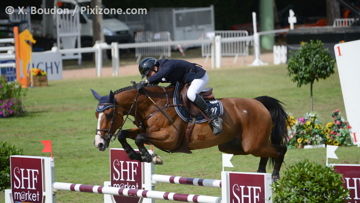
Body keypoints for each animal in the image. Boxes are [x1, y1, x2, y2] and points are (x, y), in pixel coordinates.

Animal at [91, 83, 288, 182]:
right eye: (96, 114)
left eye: (109, 114)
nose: (99, 144)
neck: (153, 104)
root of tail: (259, 103)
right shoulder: (145, 129)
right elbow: (124, 134)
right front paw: (136, 155)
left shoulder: (169, 139)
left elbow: (139, 138)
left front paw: (151, 157)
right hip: (234, 146)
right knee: (266, 152)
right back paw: (261, 173)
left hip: (251, 144)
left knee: (280, 149)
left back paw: (275, 175)